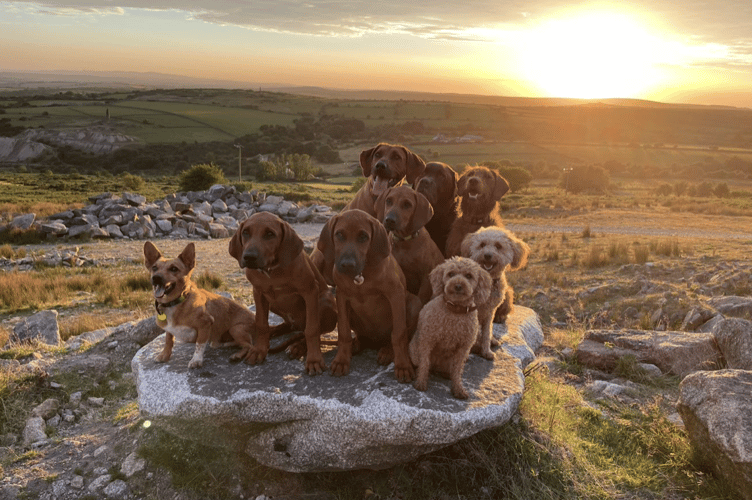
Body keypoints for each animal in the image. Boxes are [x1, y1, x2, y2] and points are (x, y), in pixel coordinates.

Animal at [144, 240, 256, 370]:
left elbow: (199, 345)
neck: (176, 302)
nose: (156, 278)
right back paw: (224, 344)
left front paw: (196, 360)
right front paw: (164, 355)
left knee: (250, 346)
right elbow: (168, 340)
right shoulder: (169, 329)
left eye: (174, 269)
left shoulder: (205, 323)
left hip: (236, 329)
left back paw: (237, 355)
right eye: (154, 268)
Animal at [228, 212, 336, 376]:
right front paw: (259, 350)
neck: (271, 270)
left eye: (270, 234)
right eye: (245, 232)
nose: (249, 257)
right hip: (273, 303)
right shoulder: (258, 292)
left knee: (311, 330)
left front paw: (314, 360)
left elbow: (312, 329)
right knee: (289, 325)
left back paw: (298, 346)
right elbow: (261, 323)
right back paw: (275, 331)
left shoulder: (310, 291)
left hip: (326, 301)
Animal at [316, 209, 424, 380]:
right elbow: (344, 333)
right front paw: (341, 360)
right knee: (360, 337)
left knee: (398, 336)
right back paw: (356, 345)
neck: (361, 275)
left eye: (363, 237)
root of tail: (375, 342)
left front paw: (403, 365)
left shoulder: (396, 294)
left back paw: (387, 351)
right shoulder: (341, 296)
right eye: (339, 234)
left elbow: (399, 334)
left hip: (414, 303)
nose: (347, 265)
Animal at [412, 258, 494, 398]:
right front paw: (421, 383)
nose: (458, 286)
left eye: (469, 276)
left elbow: (457, 370)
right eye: (451, 274)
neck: (455, 310)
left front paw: (458, 389)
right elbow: (424, 363)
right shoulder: (427, 340)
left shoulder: (463, 348)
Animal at [462, 227, 532, 360]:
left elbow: (487, 332)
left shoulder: (490, 312)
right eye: (482, 244)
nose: (487, 255)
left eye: (498, 246)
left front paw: (486, 350)